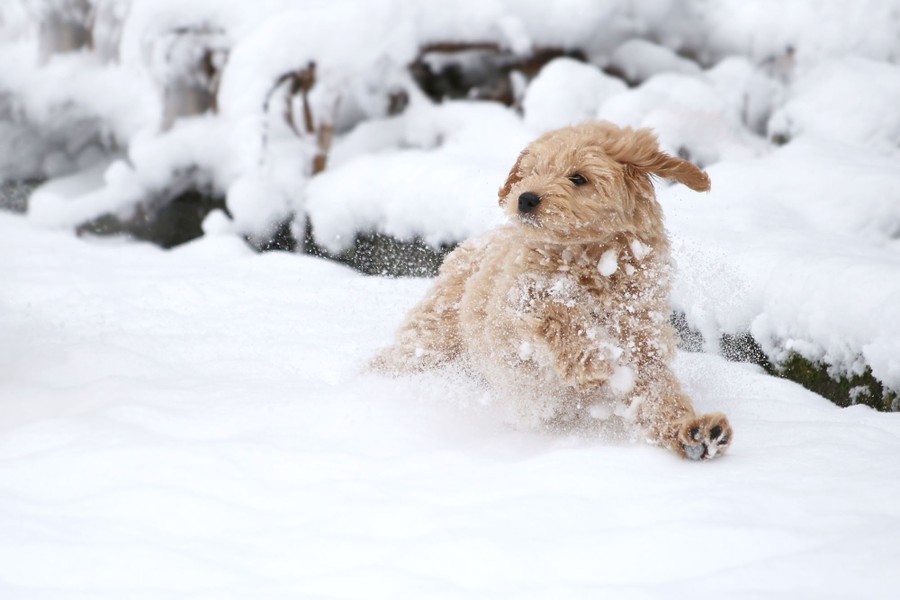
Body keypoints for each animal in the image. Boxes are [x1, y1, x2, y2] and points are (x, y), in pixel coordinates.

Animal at [372, 120, 732, 460]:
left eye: (579, 178)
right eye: (532, 172)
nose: (525, 198)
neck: (593, 260)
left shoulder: (642, 340)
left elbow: (656, 392)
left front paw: (693, 431)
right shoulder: (517, 299)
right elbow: (556, 310)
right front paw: (592, 359)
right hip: (433, 338)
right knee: (399, 357)